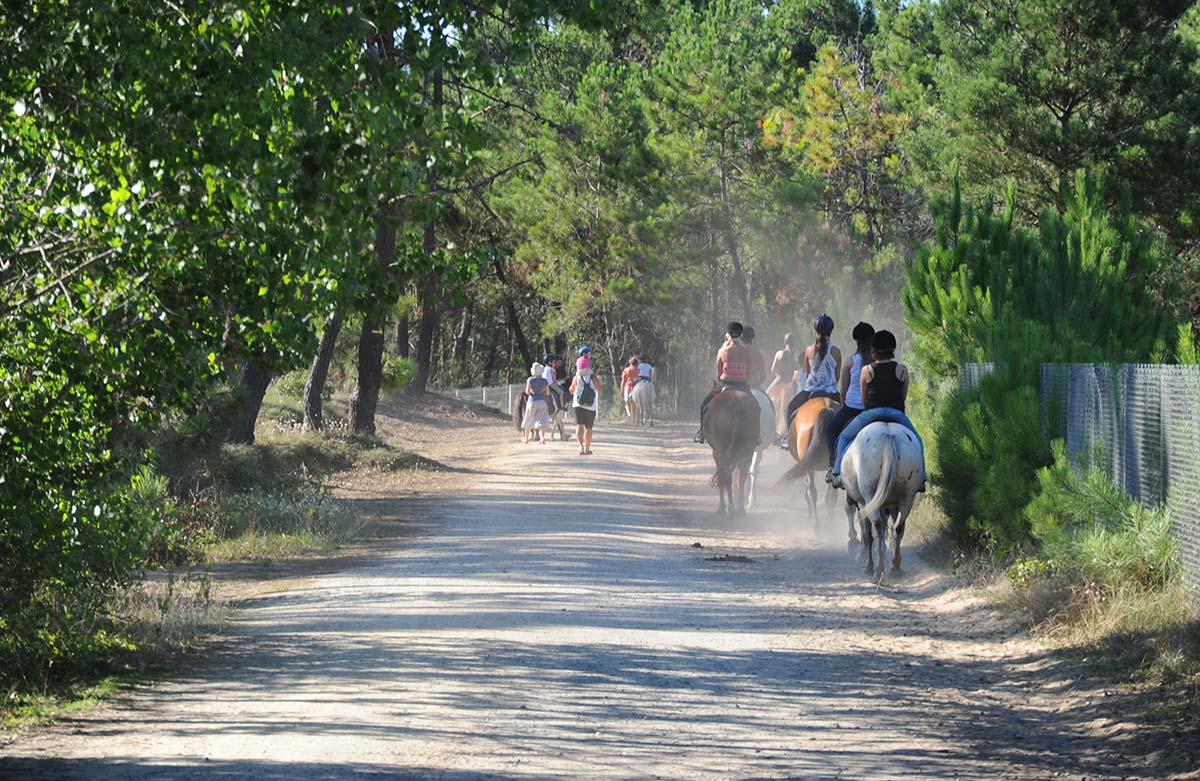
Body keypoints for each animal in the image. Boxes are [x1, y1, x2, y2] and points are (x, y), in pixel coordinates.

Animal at [844, 422, 926, 580]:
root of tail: (888, 436)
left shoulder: (863, 503)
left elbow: (867, 533)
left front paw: (867, 564)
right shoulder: (893, 505)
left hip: (869, 495)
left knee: (876, 526)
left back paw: (877, 568)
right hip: (907, 497)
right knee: (898, 527)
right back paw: (895, 567)